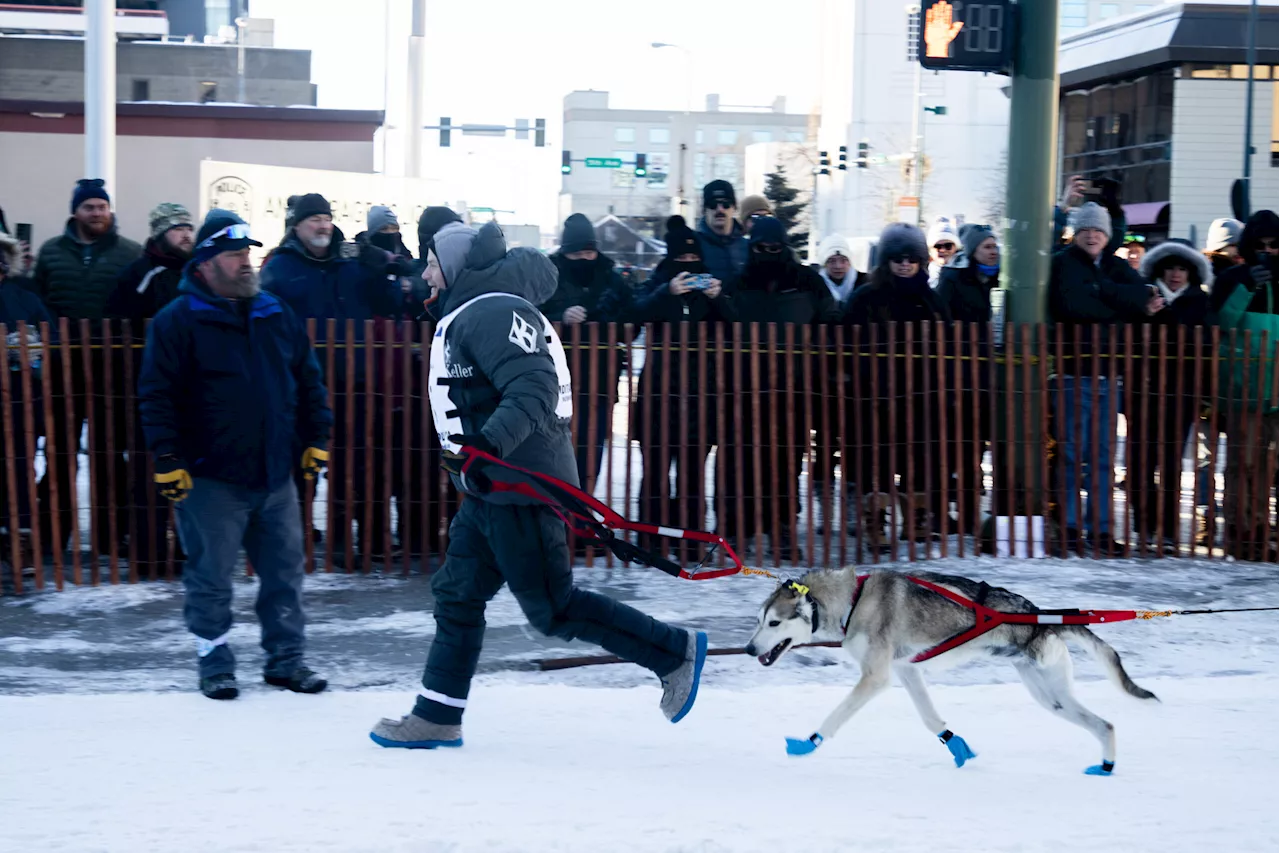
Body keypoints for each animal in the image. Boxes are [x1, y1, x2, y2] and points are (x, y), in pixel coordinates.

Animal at [742, 563, 1162, 768]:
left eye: (774, 623)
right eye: (759, 621)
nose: (747, 649)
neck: (852, 601)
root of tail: (1043, 617)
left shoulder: (875, 678)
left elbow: (834, 718)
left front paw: (808, 744)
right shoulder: (907, 670)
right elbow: (932, 720)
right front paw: (957, 746)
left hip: (1051, 690)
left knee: (1104, 724)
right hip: (1052, 698)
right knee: (1105, 725)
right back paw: (1105, 765)